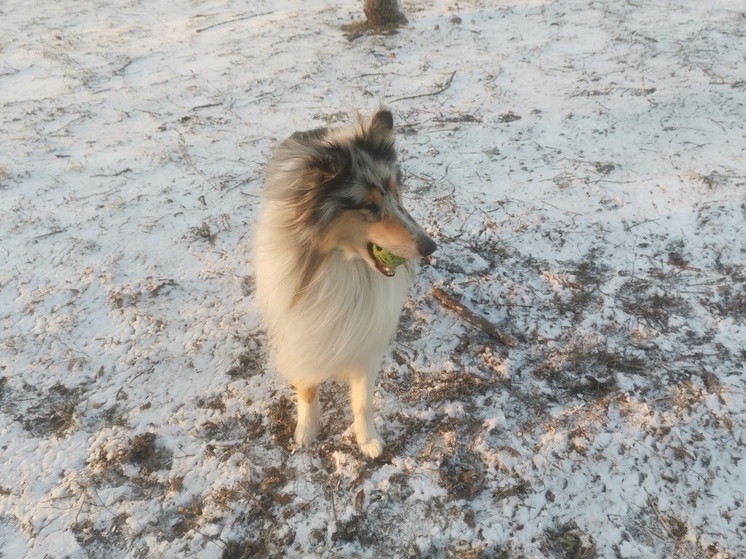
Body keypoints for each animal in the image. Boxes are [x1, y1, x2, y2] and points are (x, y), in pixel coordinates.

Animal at [253, 109, 434, 460]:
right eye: (369, 207)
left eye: (395, 192)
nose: (430, 247)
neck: (343, 264)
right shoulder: (302, 330)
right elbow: (307, 386)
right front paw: (306, 431)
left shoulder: (366, 337)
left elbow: (363, 399)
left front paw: (367, 440)